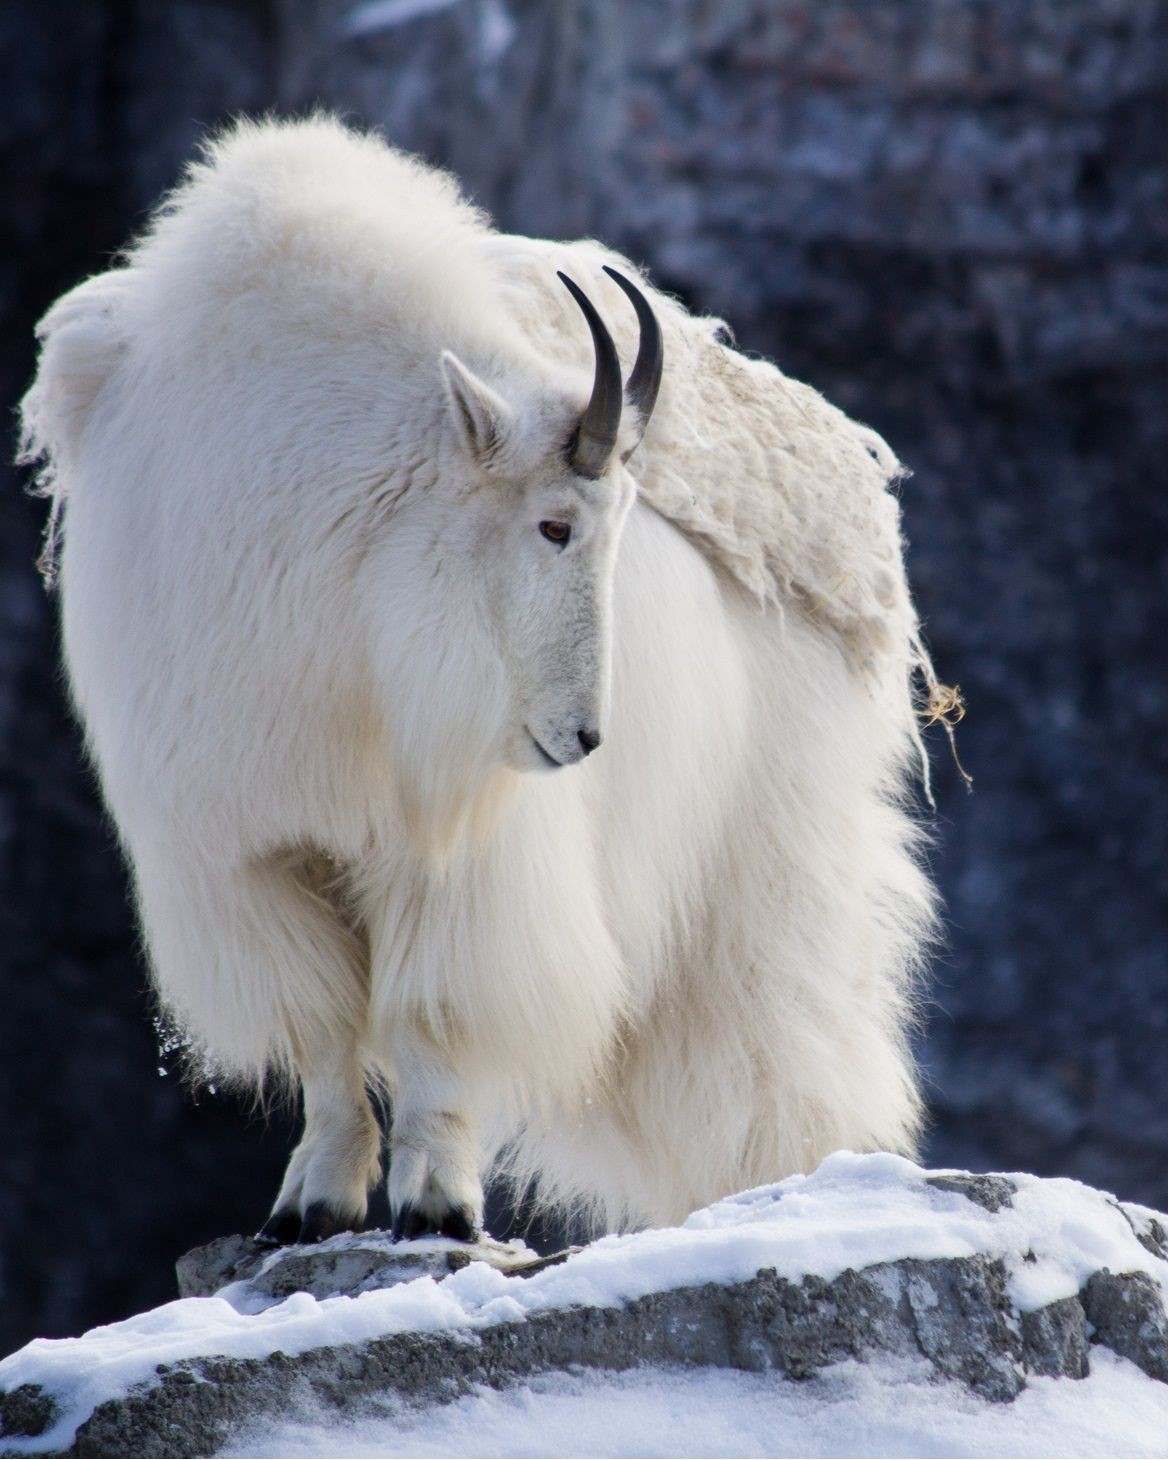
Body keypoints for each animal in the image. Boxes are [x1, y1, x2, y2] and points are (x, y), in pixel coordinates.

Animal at [18, 116, 940, 1243]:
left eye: (622, 531)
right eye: (555, 525)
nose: (586, 738)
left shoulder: (456, 838)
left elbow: (434, 1010)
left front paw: (439, 1203)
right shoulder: (250, 847)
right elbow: (322, 1021)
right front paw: (312, 1201)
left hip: (766, 850)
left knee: (776, 1023)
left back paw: (794, 1182)